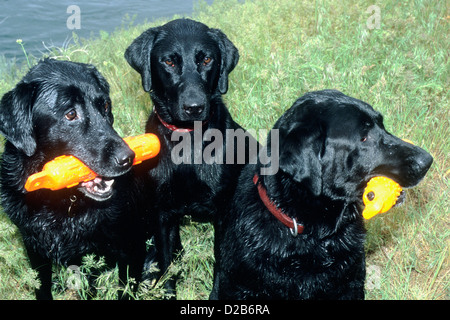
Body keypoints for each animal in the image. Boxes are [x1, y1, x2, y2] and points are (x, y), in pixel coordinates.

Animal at [0, 59, 147, 300]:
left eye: (105, 106)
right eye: (70, 114)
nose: (128, 158)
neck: (60, 204)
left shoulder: (131, 246)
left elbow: (124, 289)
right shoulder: (33, 246)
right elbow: (42, 286)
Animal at [125, 18, 256, 296]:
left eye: (206, 59)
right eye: (169, 61)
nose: (194, 107)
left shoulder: (222, 214)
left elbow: (220, 263)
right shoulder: (162, 215)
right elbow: (167, 262)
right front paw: (167, 291)